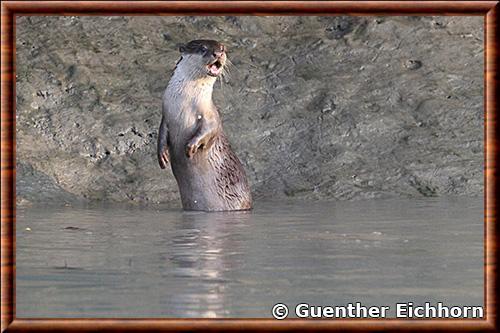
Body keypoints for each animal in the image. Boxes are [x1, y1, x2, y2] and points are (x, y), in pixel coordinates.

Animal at [157, 39, 252, 210]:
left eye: (222, 48)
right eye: (203, 48)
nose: (219, 53)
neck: (184, 104)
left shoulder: (211, 116)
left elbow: (209, 130)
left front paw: (190, 147)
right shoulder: (166, 114)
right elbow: (161, 134)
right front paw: (162, 155)